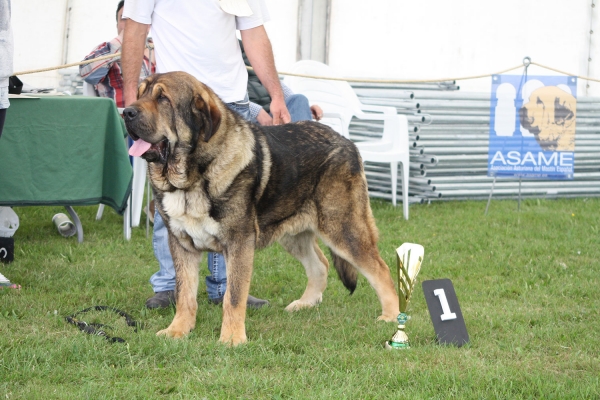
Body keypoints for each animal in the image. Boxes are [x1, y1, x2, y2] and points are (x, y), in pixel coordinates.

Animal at [123, 71, 398, 344]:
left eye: (163, 98)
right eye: (140, 94)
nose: (126, 112)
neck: (193, 177)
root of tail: (347, 141)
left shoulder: (239, 243)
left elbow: (233, 296)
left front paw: (231, 339)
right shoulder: (182, 245)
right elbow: (185, 294)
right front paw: (178, 330)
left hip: (343, 229)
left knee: (381, 269)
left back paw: (392, 316)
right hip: (292, 234)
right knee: (321, 265)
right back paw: (306, 303)